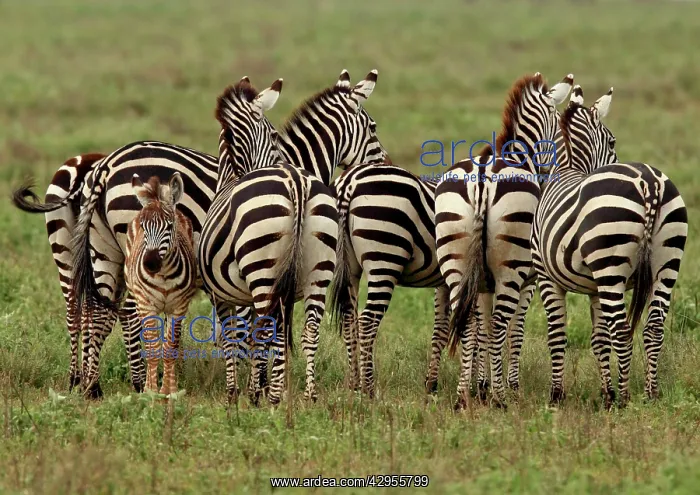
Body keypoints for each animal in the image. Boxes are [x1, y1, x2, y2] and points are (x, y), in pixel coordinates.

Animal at [124, 173, 199, 395]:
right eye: (143, 227)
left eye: (170, 226)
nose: (150, 264)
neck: (164, 275)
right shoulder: (146, 305)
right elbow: (152, 348)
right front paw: (150, 391)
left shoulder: (178, 307)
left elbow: (170, 348)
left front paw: (169, 391)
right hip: (138, 298)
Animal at [434, 72, 573, 409]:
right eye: (557, 124)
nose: (556, 169)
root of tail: (483, 177)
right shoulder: (528, 282)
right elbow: (514, 331)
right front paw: (507, 386)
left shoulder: (483, 283)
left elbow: (480, 327)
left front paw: (480, 385)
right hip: (511, 268)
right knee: (499, 323)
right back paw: (500, 399)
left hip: (456, 258)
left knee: (468, 322)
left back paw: (462, 398)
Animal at [530, 85, 688, 409]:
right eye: (613, 141)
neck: (568, 169)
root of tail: (649, 182)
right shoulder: (594, 288)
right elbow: (598, 339)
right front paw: (606, 393)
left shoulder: (546, 277)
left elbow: (557, 334)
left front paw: (556, 396)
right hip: (667, 261)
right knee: (653, 327)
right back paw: (650, 394)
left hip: (611, 266)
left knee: (622, 329)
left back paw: (625, 399)